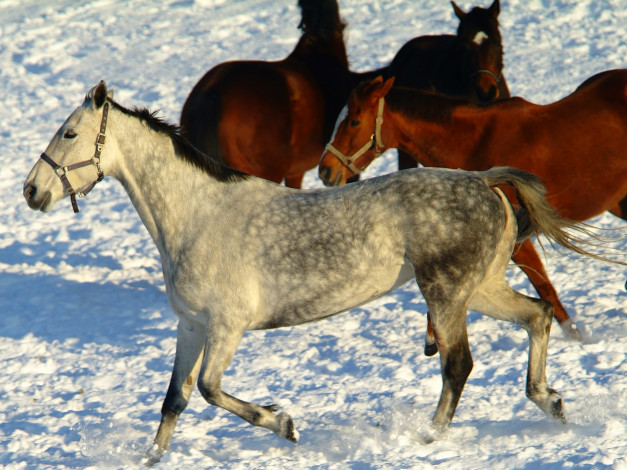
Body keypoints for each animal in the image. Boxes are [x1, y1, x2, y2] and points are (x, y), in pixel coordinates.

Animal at [25, 81, 584, 462]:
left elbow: (208, 389)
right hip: (480, 289)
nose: (32, 191)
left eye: (69, 133)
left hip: (445, 293)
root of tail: (485, 182)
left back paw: (429, 437)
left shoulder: (227, 326)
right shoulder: (192, 325)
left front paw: (285, 423)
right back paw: (550, 402)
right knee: (537, 316)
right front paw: (152, 459)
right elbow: (174, 400)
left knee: (458, 365)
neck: (197, 215)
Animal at [318, 71, 627, 350]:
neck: (475, 144)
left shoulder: (516, 243)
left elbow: (543, 285)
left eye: (354, 121)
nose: (325, 171)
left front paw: (578, 337)